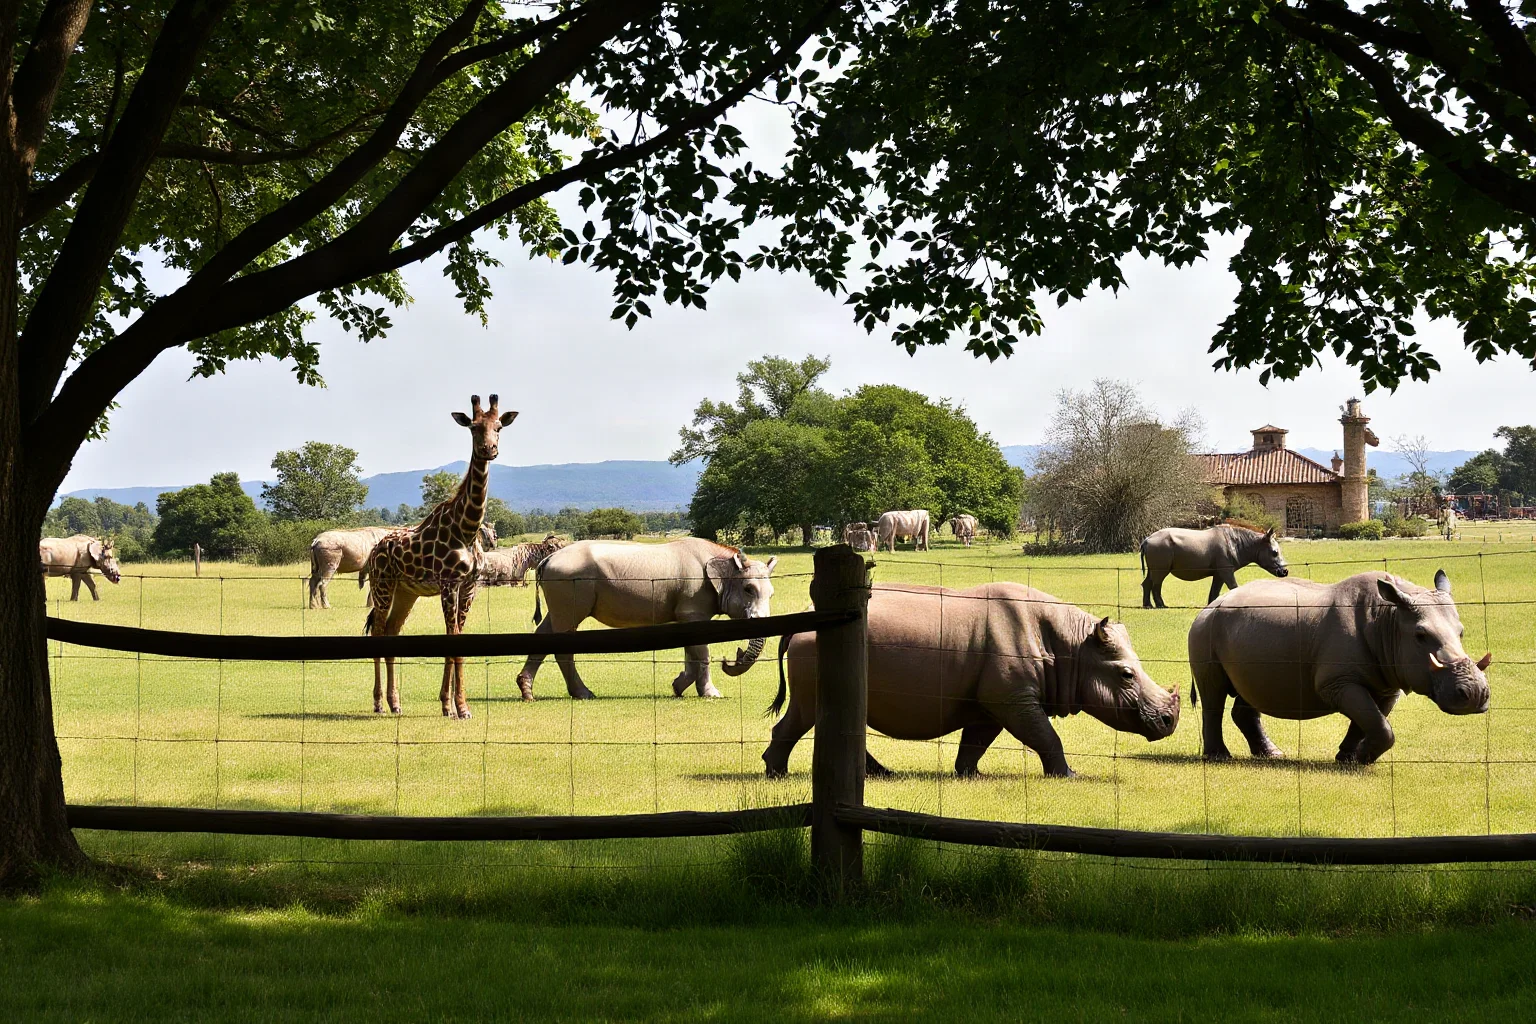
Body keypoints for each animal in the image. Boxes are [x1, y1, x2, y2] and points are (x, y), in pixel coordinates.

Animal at [364, 394, 516, 718]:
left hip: (407, 592)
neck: (467, 529)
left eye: (499, 427)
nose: (489, 449)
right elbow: (452, 638)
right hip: (382, 587)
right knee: (378, 632)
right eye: (473, 427)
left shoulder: (469, 587)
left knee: (393, 631)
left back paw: (396, 703)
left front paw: (451, 705)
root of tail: (374, 550)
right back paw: (379, 703)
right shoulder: (449, 584)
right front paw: (459, 707)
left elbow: (456, 637)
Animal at [765, 581, 1181, 779]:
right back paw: (777, 775)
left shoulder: (993, 702)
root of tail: (801, 621)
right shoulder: (1012, 697)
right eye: (1126, 674)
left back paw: (880, 774)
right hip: (814, 648)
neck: (1075, 648)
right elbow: (1047, 736)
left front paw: (969, 774)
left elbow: (976, 742)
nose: (1169, 721)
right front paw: (1068, 776)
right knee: (807, 714)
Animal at [1140, 522, 1288, 608]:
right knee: (1159, 578)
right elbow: (1233, 586)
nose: (1284, 572)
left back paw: (1148, 606)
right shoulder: (1226, 570)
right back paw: (1161, 606)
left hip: (1155, 551)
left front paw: (1211, 606)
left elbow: (1215, 591)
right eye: (1274, 553)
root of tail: (1146, 540)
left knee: (1150, 578)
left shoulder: (1219, 572)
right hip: (1160, 548)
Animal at [1188, 570, 1491, 764]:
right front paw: (1362, 758)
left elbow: (1371, 719)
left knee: (1250, 691)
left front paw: (1349, 757)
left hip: (1246, 634)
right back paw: (1219, 757)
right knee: (1213, 693)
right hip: (1205, 629)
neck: (1389, 618)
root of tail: (1210, 605)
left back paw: (1272, 754)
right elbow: (1375, 721)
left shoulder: (1386, 681)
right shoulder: (1337, 682)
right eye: (1421, 636)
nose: (1475, 694)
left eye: (1462, 633)